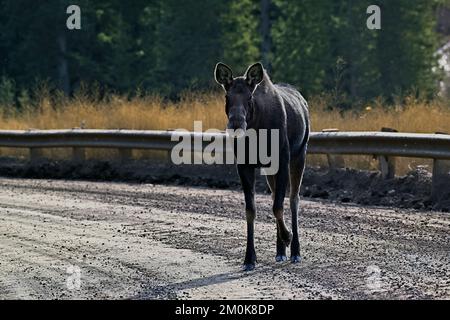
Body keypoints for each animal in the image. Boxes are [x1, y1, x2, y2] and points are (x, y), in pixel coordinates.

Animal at [214, 62, 310, 270]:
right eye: (227, 96)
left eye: (250, 97)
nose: (236, 124)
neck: (257, 129)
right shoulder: (244, 165)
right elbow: (251, 210)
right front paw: (249, 258)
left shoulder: (282, 160)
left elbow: (278, 207)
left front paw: (288, 236)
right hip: (269, 169)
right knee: (276, 196)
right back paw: (280, 252)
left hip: (299, 155)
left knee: (293, 199)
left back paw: (295, 251)